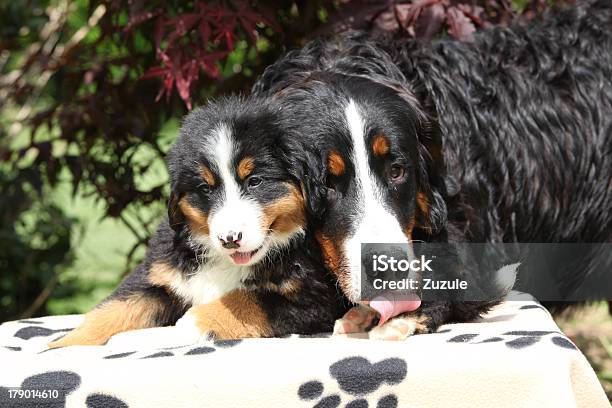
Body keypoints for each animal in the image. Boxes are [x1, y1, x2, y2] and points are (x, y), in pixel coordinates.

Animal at [47, 97, 350, 350]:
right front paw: (58, 347)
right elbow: (114, 309)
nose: (230, 239)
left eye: (255, 181)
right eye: (205, 188)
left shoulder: (313, 300)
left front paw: (144, 337)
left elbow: (235, 302)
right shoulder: (159, 275)